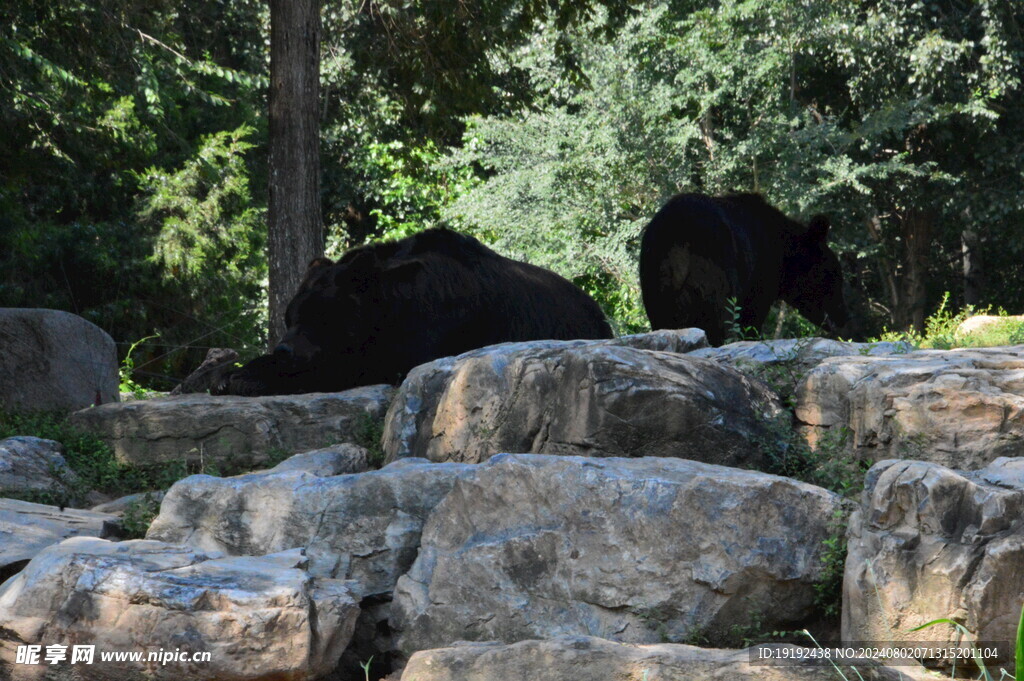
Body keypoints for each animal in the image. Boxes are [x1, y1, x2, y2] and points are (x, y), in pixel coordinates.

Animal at [216, 228, 610, 395]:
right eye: (291, 316)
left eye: (320, 317)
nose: (285, 349)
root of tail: (597, 309)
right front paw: (233, 374)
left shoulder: (436, 327)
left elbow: (356, 368)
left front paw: (248, 378)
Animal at [638, 193, 847, 346]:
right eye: (834, 276)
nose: (842, 318)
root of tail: (678, 237)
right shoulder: (761, 272)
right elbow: (752, 316)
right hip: (716, 264)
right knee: (722, 314)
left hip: (654, 278)